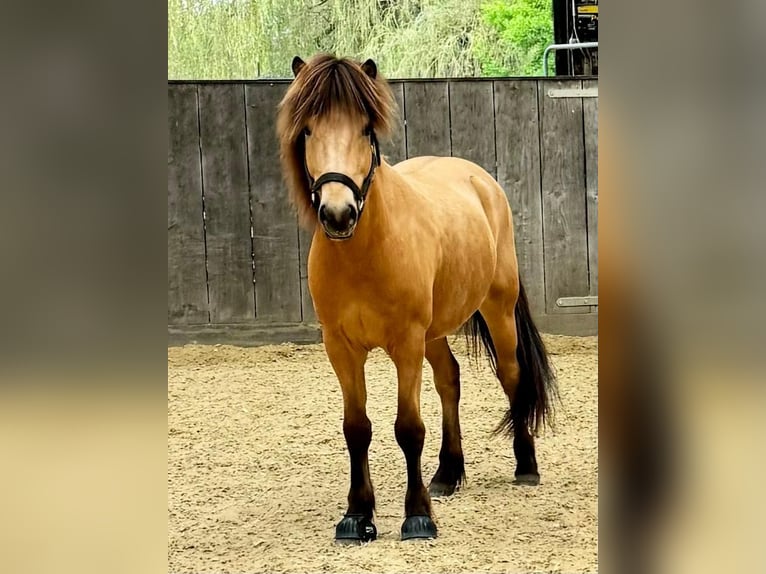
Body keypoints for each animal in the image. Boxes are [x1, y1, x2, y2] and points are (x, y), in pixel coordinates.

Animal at [277, 54, 557, 544]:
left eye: (365, 130)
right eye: (308, 130)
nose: (338, 213)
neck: (364, 252)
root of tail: (480, 179)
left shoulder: (405, 343)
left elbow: (408, 428)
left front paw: (417, 516)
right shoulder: (341, 349)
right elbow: (356, 428)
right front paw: (357, 515)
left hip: (497, 310)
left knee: (511, 375)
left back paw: (526, 464)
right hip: (434, 333)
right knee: (450, 379)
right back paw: (447, 473)